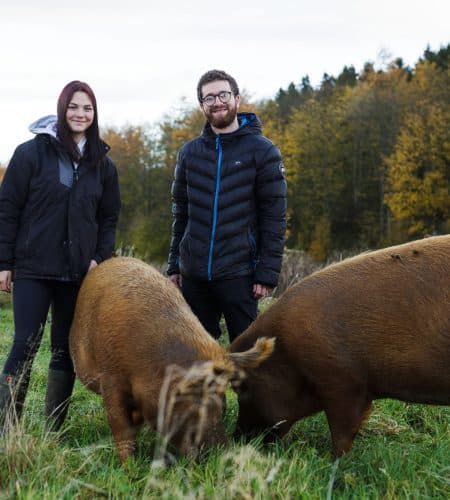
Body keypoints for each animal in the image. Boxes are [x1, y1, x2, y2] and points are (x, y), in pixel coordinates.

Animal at [70, 260, 274, 462]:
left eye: (222, 399)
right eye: (191, 400)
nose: (219, 455)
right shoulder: (110, 378)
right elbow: (121, 426)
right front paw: (128, 464)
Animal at [230, 234, 448, 458]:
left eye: (242, 387)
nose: (235, 438)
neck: (287, 353)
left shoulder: (343, 380)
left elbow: (342, 430)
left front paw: (332, 459)